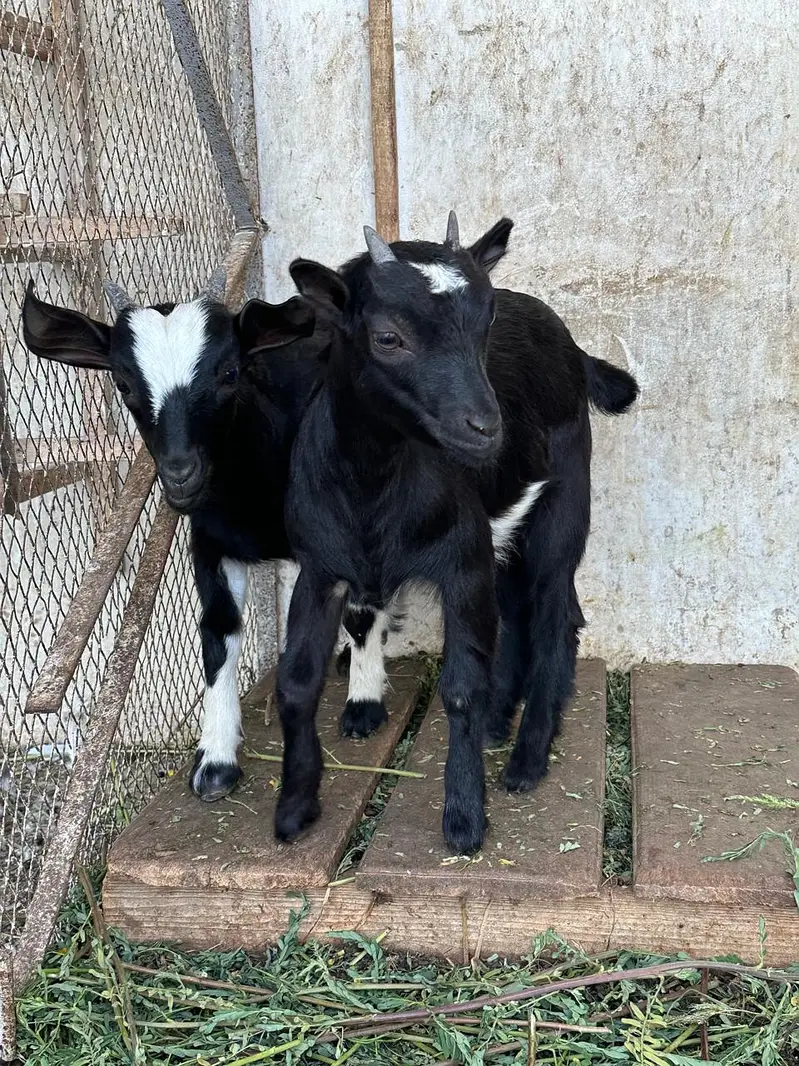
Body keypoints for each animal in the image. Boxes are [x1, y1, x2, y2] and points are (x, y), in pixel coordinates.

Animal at [278, 213, 638, 853]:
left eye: (486, 320)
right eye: (388, 337)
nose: (486, 427)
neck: (375, 485)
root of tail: (572, 346)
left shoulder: (462, 562)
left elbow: (462, 685)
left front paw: (465, 818)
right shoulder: (321, 567)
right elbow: (297, 680)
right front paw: (295, 809)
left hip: (566, 500)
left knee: (555, 611)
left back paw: (527, 759)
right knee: (518, 608)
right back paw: (500, 724)